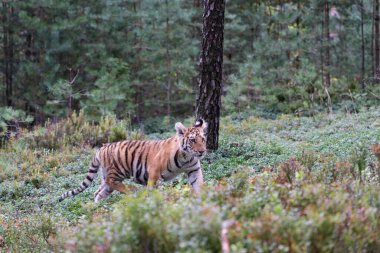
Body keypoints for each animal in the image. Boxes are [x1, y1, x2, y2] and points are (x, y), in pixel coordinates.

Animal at [58, 119, 208, 204]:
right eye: (192, 140)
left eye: (203, 139)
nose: (202, 151)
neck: (186, 157)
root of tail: (101, 148)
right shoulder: (154, 172)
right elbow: (152, 189)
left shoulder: (194, 169)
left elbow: (198, 184)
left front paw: (204, 199)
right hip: (116, 170)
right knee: (112, 182)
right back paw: (131, 190)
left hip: (107, 176)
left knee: (99, 192)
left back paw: (98, 207)